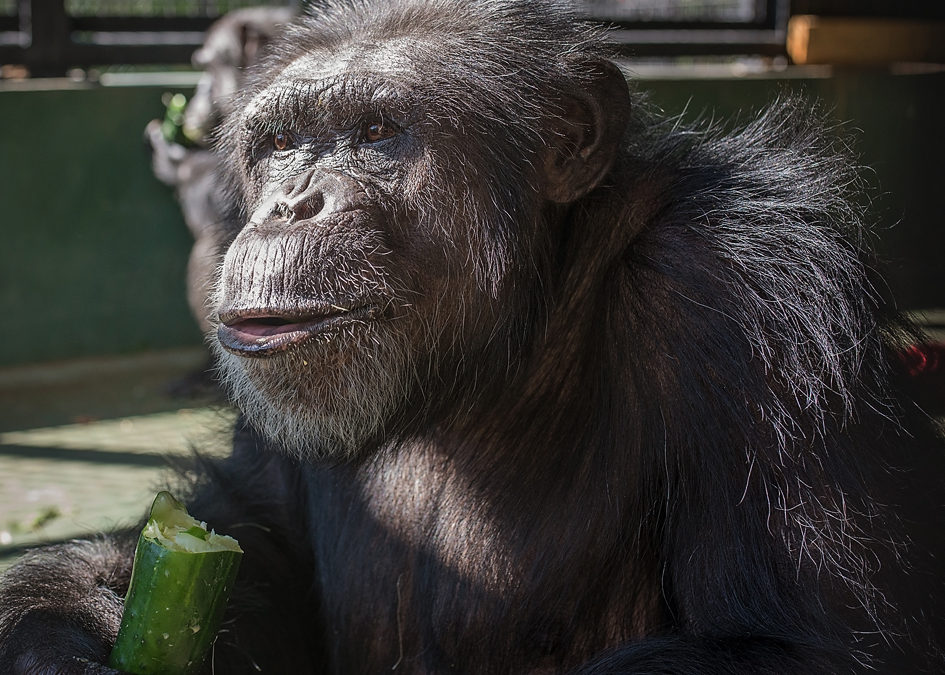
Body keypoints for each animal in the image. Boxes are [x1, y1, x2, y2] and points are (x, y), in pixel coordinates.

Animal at [1, 0, 944, 672]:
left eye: (377, 132)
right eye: (280, 143)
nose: (290, 205)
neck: (496, 342)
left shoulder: (759, 300)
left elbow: (796, 640)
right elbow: (251, 525)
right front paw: (59, 628)